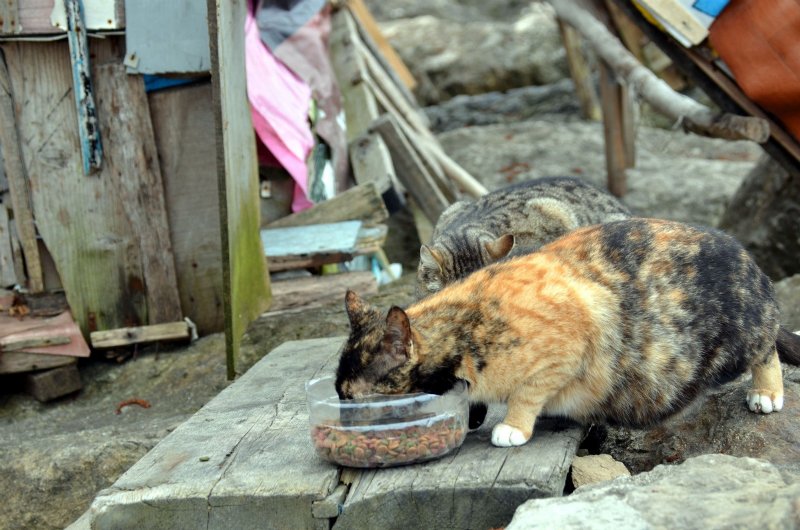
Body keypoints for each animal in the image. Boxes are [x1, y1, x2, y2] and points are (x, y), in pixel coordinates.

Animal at [338, 217, 800, 444]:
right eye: (340, 394)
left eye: (352, 398)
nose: (342, 415)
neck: (466, 327)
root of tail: (749, 261)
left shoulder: (565, 348)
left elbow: (527, 392)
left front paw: (513, 428)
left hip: (741, 337)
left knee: (768, 348)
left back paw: (766, 393)